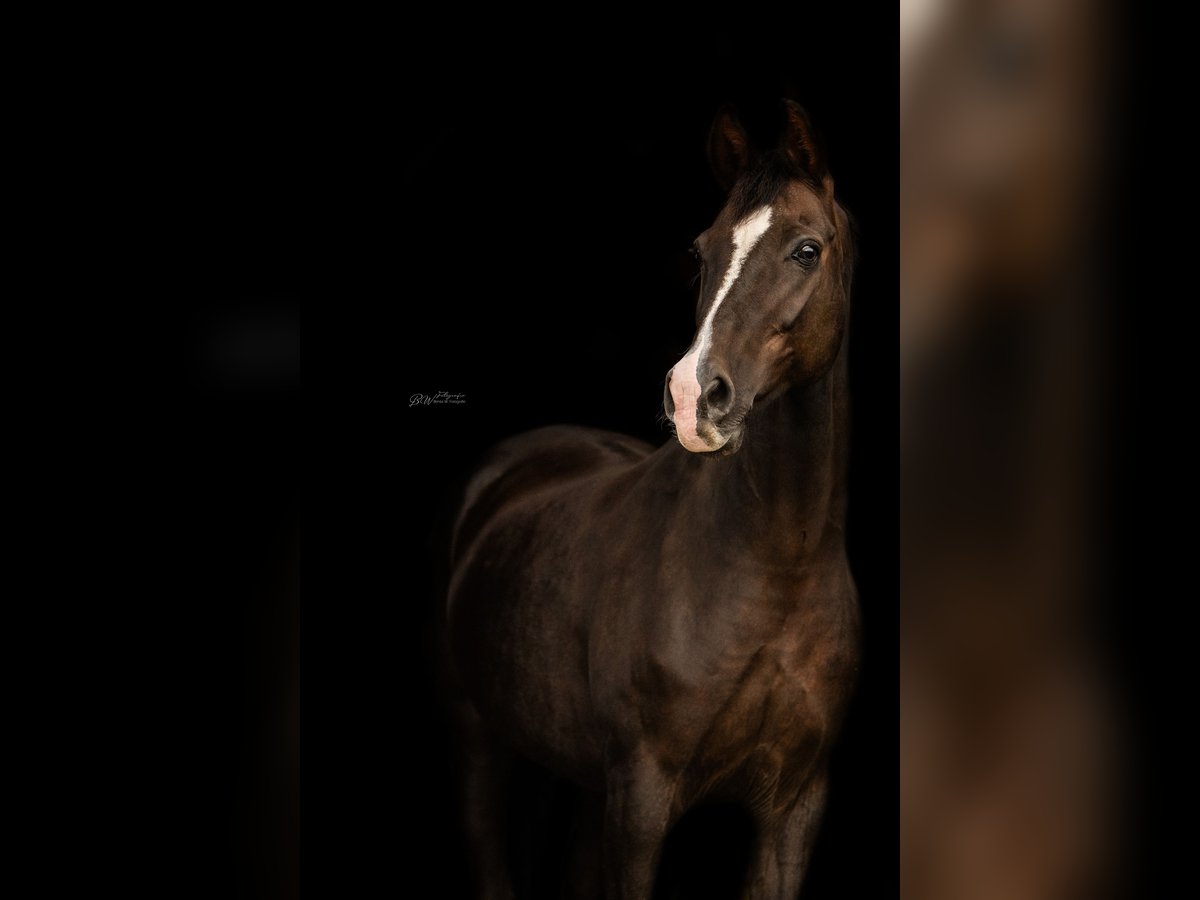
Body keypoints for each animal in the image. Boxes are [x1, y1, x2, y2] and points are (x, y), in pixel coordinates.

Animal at [446, 101, 859, 900]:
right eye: (701, 252)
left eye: (806, 250)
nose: (694, 396)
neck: (779, 570)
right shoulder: (641, 800)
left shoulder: (795, 808)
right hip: (481, 740)